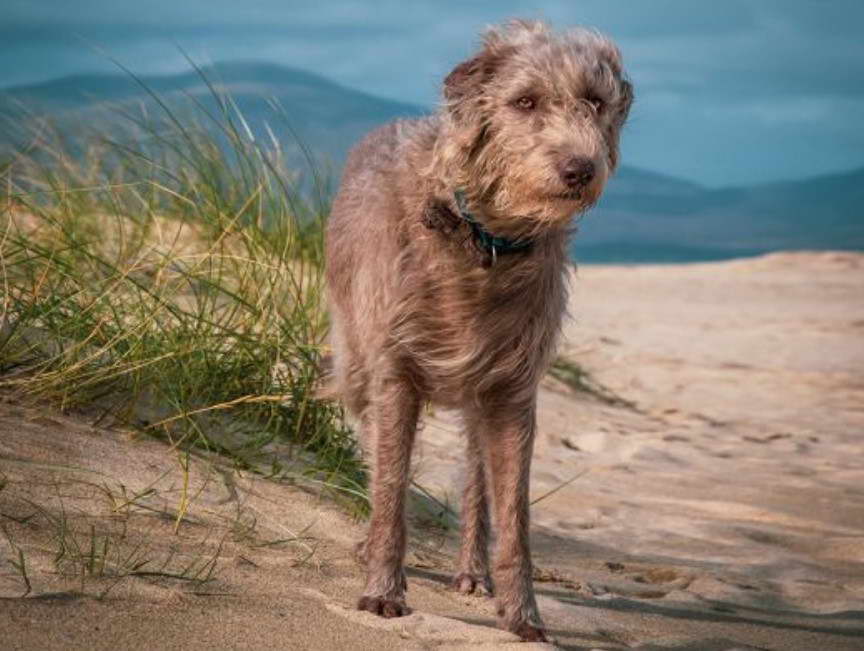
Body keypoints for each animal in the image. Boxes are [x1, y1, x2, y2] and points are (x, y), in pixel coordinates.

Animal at [324, 20, 636, 640]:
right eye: (525, 101)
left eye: (595, 101)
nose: (580, 170)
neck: (482, 241)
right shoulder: (395, 368)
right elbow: (391, 485)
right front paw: (382, 589)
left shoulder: (513, 388)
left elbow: (513, 511)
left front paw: (524, 616)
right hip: (356, 358)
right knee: (373, 442)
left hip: (477, 394)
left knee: (475, 477)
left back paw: (472, 570)